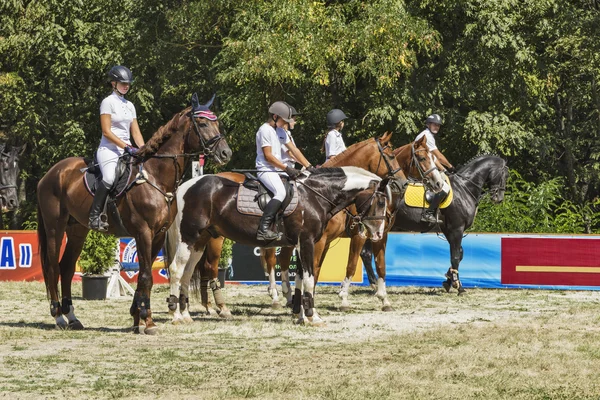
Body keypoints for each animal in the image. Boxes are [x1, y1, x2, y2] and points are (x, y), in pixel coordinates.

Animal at [35, 94, 232, 334]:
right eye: (202, 124)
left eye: (217, 123)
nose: (226, 153)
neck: (156, 177)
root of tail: (51, 173)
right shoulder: (143, 232)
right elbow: (146, 276)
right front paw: (147, 321)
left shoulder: (157, 235)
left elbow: (143, 278)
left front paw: (137, 318)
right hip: (55, 227)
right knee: (53, 267)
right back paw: (58, 317)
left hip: (77, 230)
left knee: (66, 267)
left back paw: (72, 317)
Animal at [164, 166, 392, 324]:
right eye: (380, 202)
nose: (379, 233)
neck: (316, 194)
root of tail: (184, 186)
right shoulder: (308, 242)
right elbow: (310, 278)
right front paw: (313, 317)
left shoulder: (302, 244)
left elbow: (301, 278)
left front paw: (301, 315)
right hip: (188, 238)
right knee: (176, 270)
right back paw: (175, 314)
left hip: (199, 241)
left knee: (187, 273)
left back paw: (186, 314)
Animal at [358, 155, 508, 296]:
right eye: (505, 175)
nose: (499, 198)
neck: (464, 188)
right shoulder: (456, 229)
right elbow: (455, 256)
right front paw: (458, 286)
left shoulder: (449, 230)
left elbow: (459, 254)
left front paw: (449, 279)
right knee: (366, 254)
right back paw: (375, 285)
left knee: (365, 253)